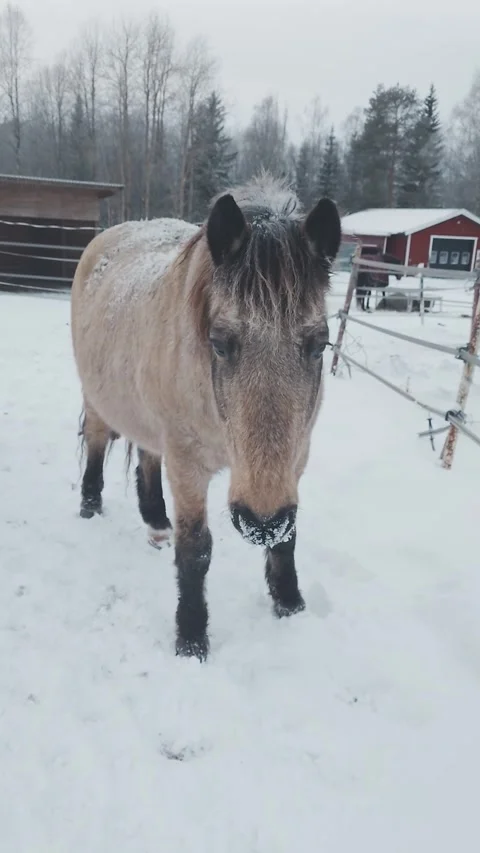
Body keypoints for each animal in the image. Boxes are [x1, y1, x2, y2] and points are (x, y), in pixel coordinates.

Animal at [71, 176, 341, 661]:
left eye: (319, 345)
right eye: (219, 343)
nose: (261, 522)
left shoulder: (296, 459)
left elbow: (288, 538)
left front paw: (290, 604)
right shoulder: (188, 463)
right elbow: (196, 549)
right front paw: (192, 637)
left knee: (147, 454)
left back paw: (156, 522)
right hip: (98, 399)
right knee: (98, 444)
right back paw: (90, 506)